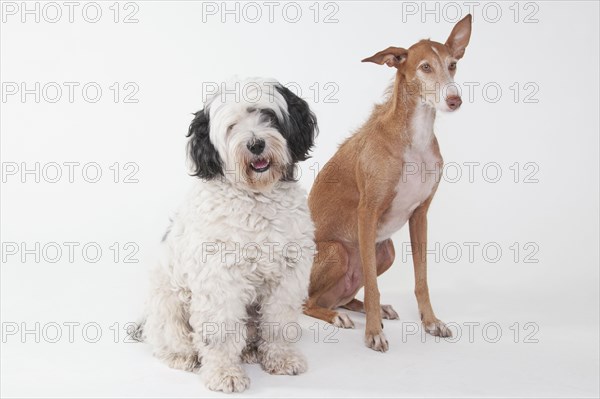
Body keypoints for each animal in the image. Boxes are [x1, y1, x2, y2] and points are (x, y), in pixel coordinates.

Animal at [135, 78, 316, 394]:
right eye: (232, 126)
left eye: (269, 116)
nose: (256, 144)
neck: (256, 199)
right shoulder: (220, 279)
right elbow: (220, 332)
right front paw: (224, 373)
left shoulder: (288, 275)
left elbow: (279, 323)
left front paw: (282, 358)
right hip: (168, 303)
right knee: (169, 338)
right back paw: (182, 356)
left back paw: (252, 350)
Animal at [304, 15, 474, 354]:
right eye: (425, 67)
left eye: (452, 65)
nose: (454, 100)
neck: (415, 137)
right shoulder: (367, 213)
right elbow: (374, 287)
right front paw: (372, 333)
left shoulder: (420, 215)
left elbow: (421, 280)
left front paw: (430, 322)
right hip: (338, 251)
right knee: (308, 302)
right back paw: (338, 317)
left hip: (387, 251)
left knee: (342, 297)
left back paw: (363, 309)